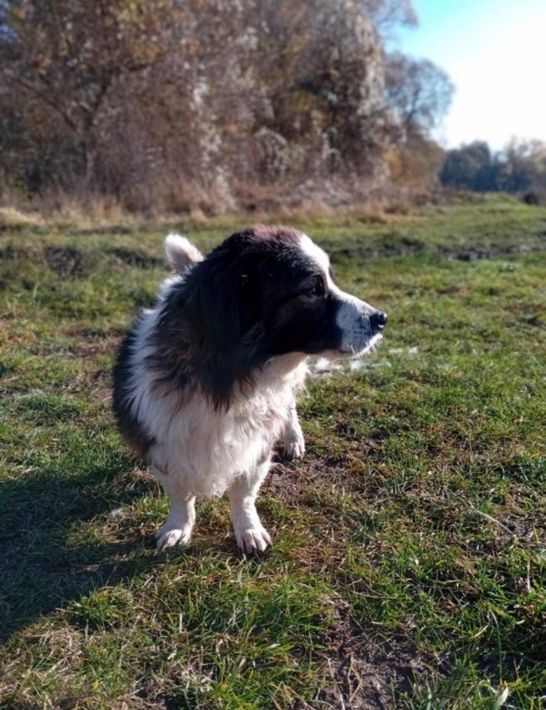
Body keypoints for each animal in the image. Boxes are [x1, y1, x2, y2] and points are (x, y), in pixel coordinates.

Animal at [112, 226, 387, 553]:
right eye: (312, 289)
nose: (381, 319)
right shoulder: (162, 442)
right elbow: (181, 495)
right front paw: (179, 526)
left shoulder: (256, 441)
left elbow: (243, 493)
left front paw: (248, 529)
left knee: (289, 406)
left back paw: (293, 437)